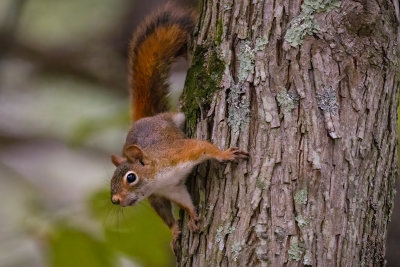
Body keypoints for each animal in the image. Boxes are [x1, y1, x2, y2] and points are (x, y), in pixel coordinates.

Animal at [108, 3, 248, 251]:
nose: (115, 200)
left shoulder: (179, 153)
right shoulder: (170, 190)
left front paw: (224, 154)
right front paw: (190, 216)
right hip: (156, 199)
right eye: (111, 182)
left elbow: (202, 147)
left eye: (130, 178)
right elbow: (183, 201)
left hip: (176, 117)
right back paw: (174, 230)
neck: (157, 178)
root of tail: (146, 119)